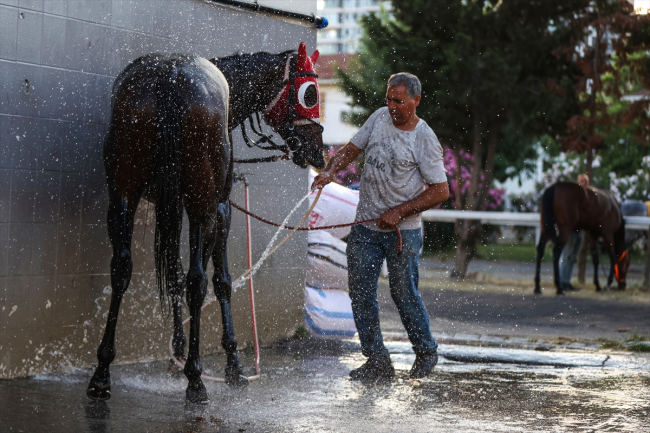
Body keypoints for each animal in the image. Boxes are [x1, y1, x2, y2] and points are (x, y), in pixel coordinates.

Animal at [87, 42, 324, 404]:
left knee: (122, 269)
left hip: (124, 194)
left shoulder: (169, 206)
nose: (319, 151)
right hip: (201, 203)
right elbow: (220, 281)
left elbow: (172, 274)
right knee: (197, 281)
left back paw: (102, 372)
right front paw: (232, 365)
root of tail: (170, 74)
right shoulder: (220, 209)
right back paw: (196, 378)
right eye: (310, 94)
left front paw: (177, 351)